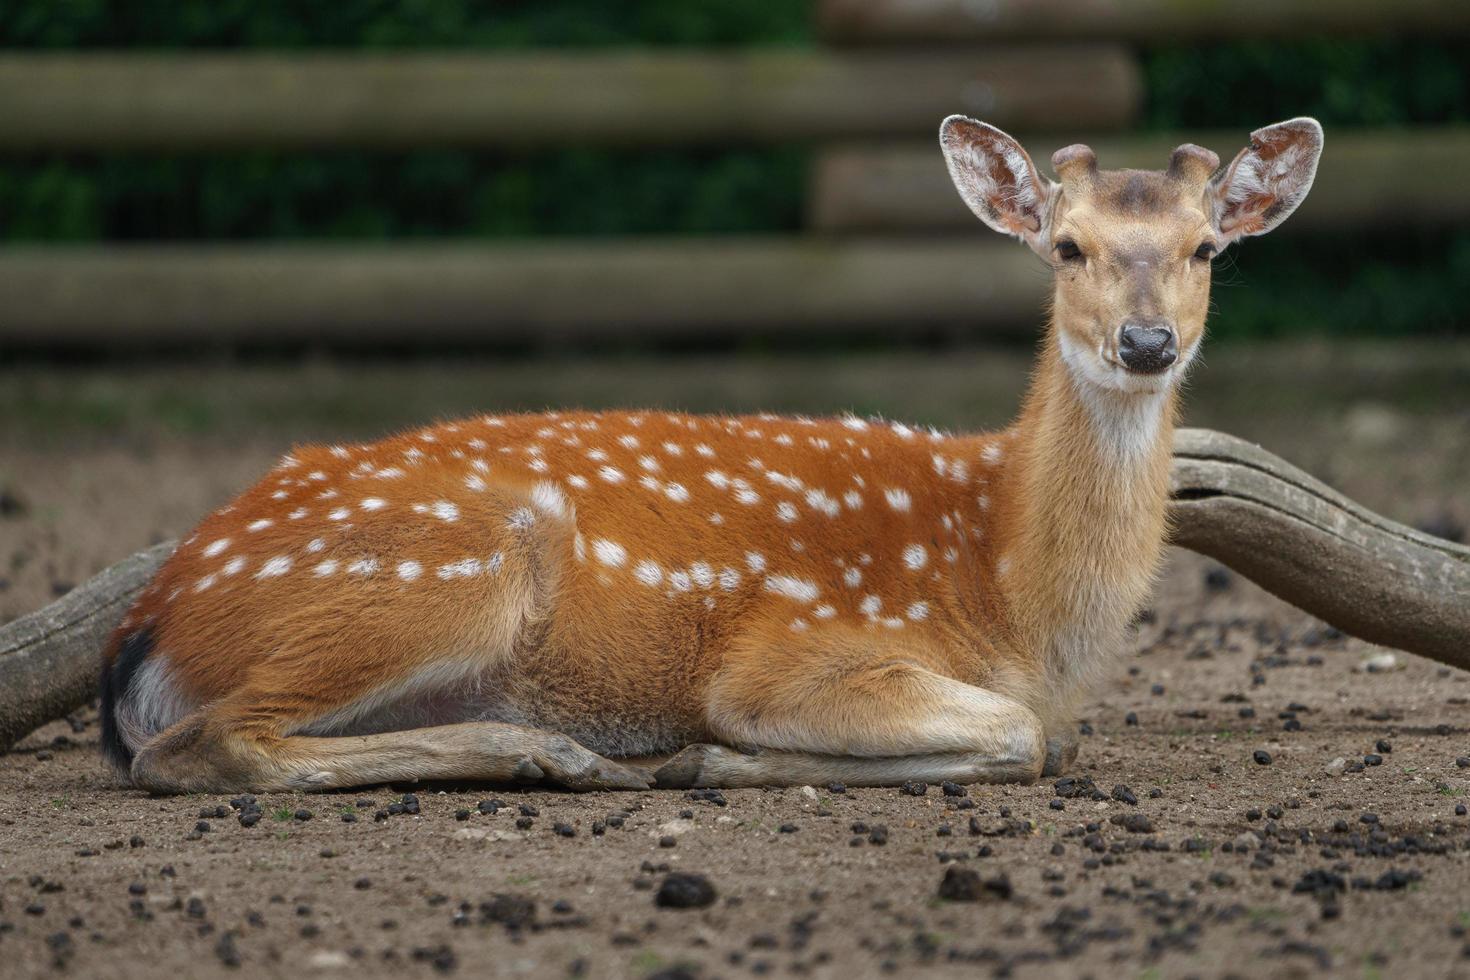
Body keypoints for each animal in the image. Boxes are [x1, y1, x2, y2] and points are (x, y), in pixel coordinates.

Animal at [97, 115, 1328, 793]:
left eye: (1207, 247)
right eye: (1066, 246)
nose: (1146, 342)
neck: (1010, 590)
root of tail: (152, 612)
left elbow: (1052, 738)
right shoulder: (791, 651)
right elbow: (1026, 736)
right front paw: (710, 759)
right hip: (448, 567)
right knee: (204, 744)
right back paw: (562, 754)